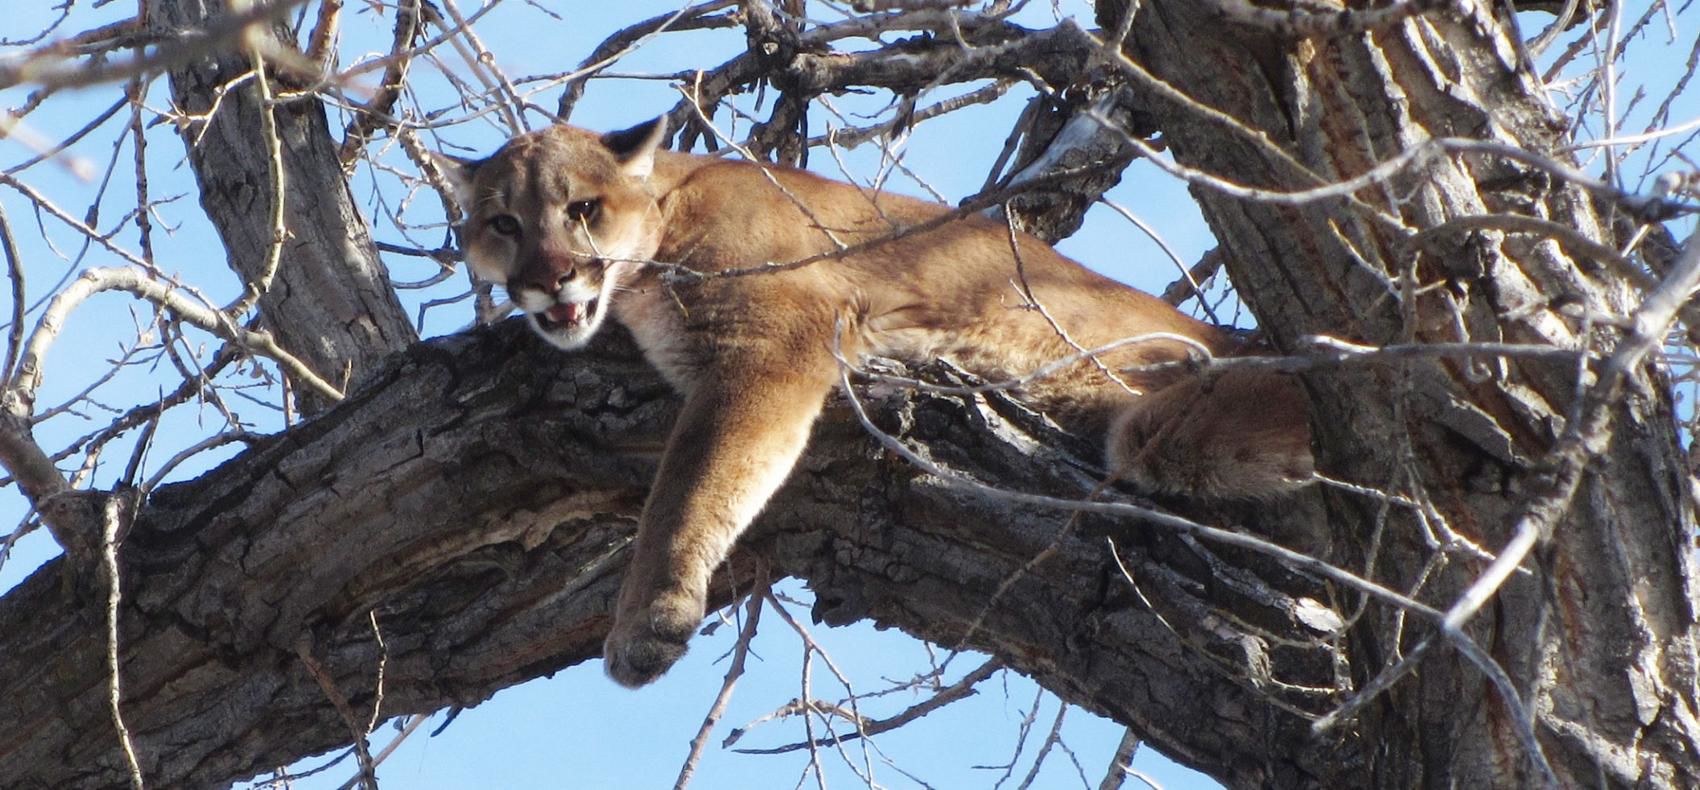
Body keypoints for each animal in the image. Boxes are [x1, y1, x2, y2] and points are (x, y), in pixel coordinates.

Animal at [431, 119, 1305, 686]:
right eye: (503, 222)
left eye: (581, 209)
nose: (548, 279)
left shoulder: (773, 343)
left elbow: (691, 484)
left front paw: (649, 619)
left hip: (1158, 418)